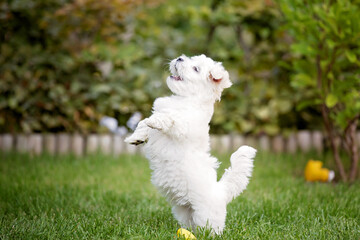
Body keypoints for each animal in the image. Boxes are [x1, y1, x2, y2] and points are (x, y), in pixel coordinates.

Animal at [125, 54, 258, 234]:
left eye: (196, 69)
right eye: (189, 58)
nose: (180, 58)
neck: (186, 99)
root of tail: (221, 192)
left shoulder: (183, 125)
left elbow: (166, 118)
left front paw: (154, 122)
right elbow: (143, 124)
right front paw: (135, 138)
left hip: (206, 215)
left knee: (209, 228)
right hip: (184, 212)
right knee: (190, 223)